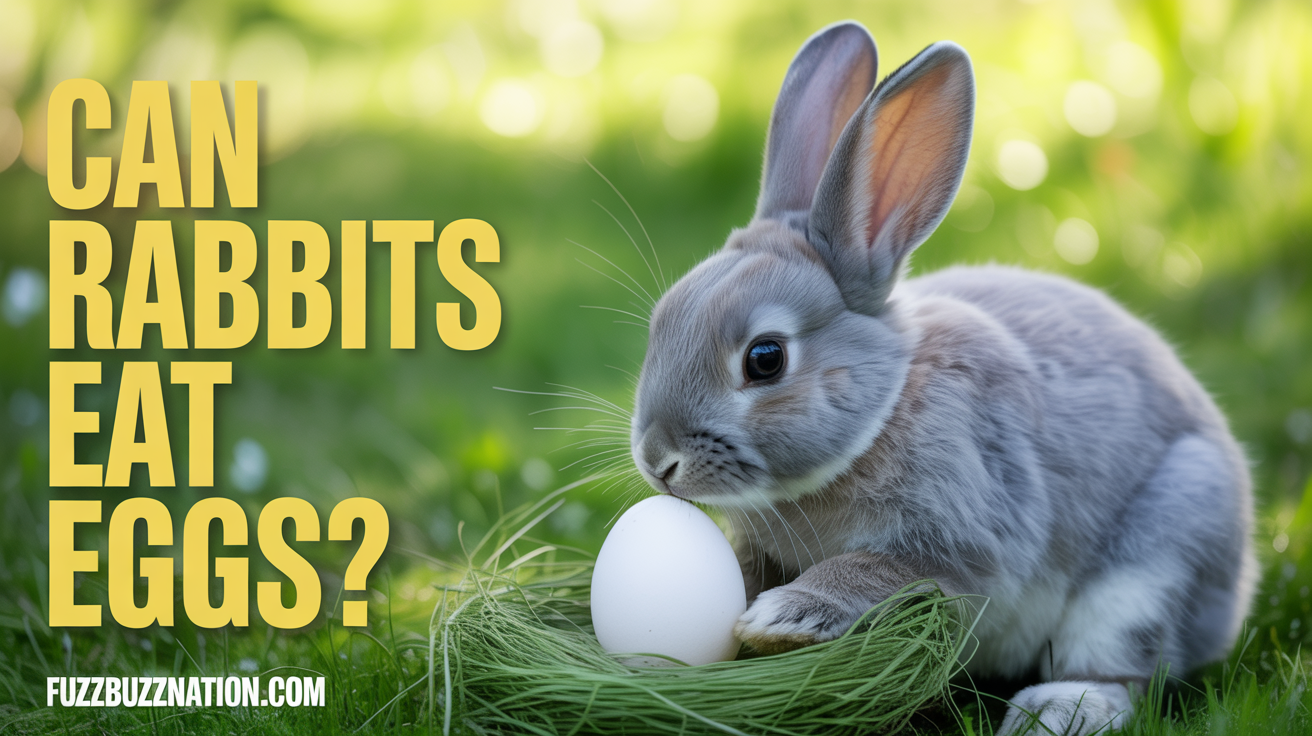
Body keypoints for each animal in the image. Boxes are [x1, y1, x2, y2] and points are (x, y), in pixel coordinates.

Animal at [627, 20, 1256, 736]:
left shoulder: (962, 542)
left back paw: (1054, 711)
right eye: (662, 321)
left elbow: (872, 569)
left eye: (765, 359)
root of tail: (1239, 585)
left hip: (1159, 556)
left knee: (1123, 671)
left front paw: (782, 617)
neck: (881, 415)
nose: (656, 460)